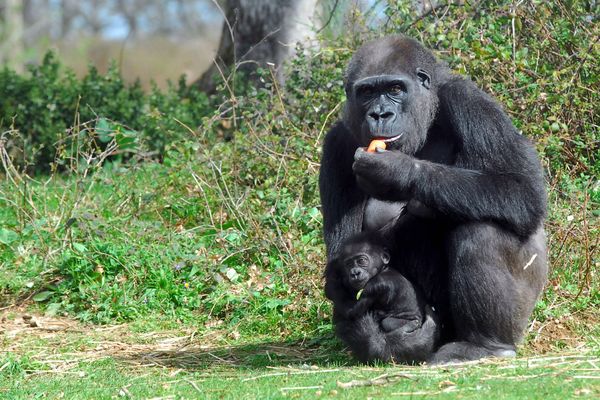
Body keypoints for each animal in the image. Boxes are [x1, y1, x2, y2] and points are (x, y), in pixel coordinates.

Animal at [326, 233, 438, 364]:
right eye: (349, 264)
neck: (384, 270)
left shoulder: (374, 286)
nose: (354, 273)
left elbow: (351, 311)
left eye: (361, 261)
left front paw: (332, 287)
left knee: (388, 323)